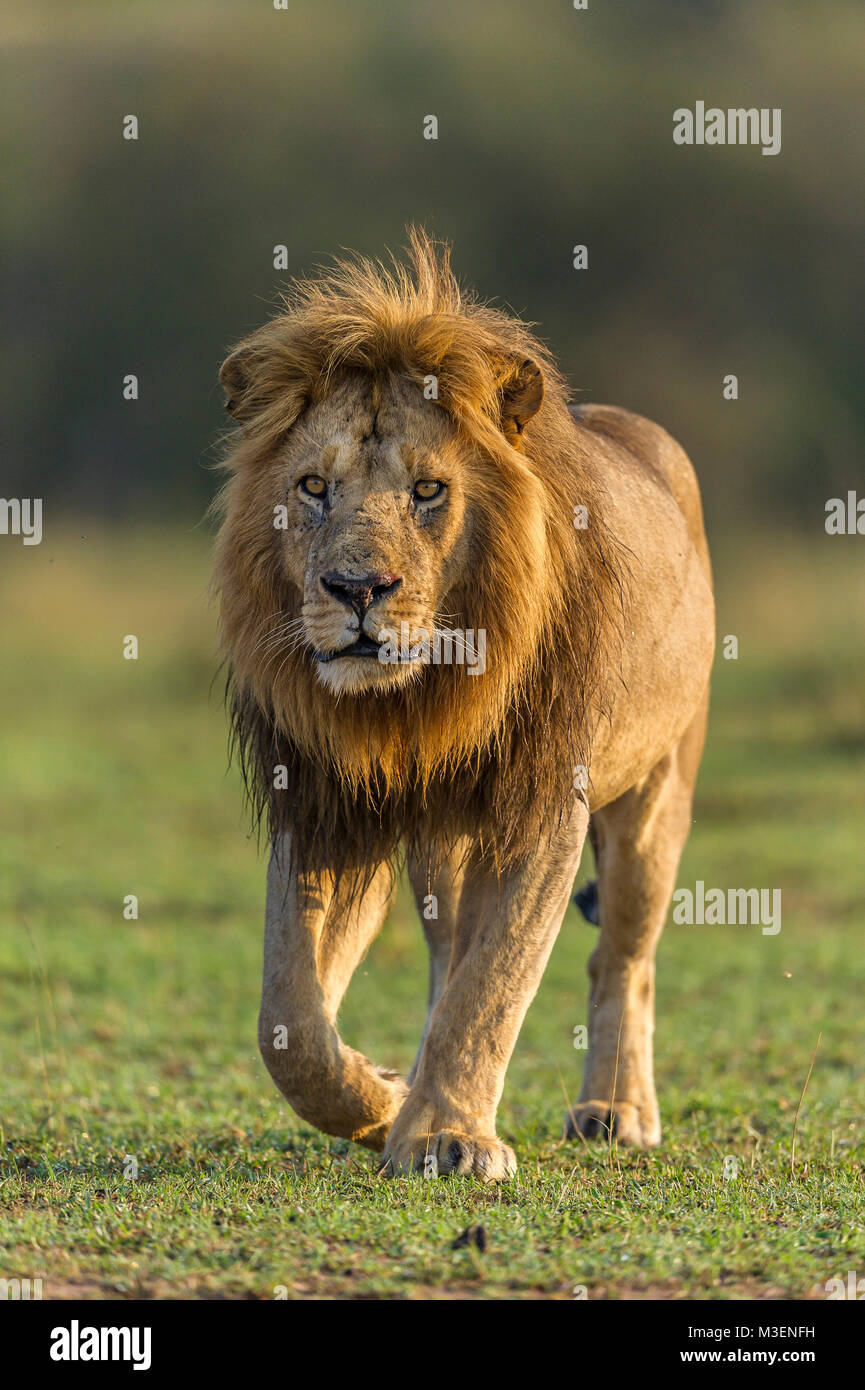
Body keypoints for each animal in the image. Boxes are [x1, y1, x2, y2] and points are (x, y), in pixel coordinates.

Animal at [212, 230, 714, 1179]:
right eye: (312, 488)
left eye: (427, 491)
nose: (356, 589)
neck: (414, 705)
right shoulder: (327, 802)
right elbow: (286, 1017)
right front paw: (384, 1103)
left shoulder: (545, 802)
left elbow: (496, 984)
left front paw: (447, 1137)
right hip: (443, 843)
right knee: (448, 957)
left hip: (655, 794)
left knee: (621, 960)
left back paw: (614, 1110)